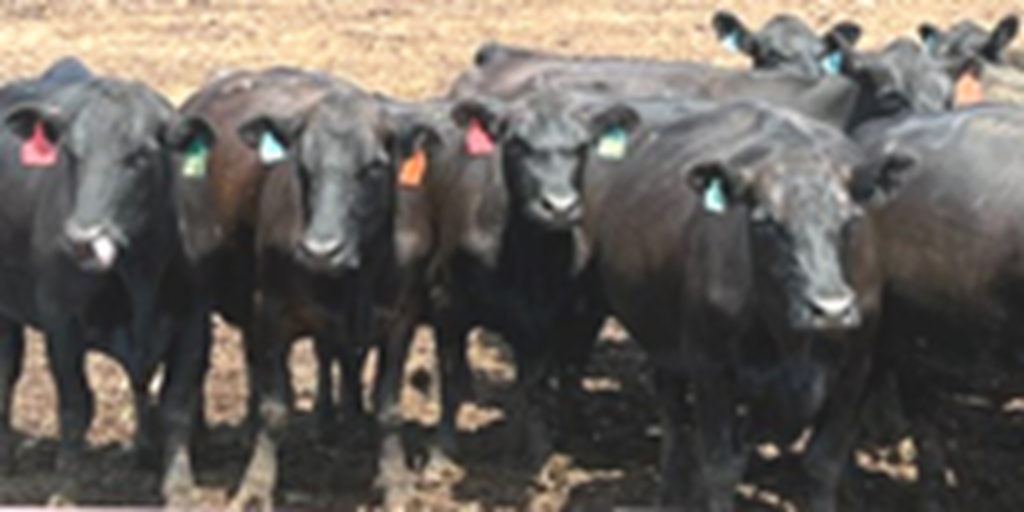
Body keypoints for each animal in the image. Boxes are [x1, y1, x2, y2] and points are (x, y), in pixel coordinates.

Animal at [0, 72, 212, 507]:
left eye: (139, 156)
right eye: (71, 154)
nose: (81, 239)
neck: (141, 272)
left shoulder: (193, 321)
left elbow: (176, 406)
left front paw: (179, 488)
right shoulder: (61, 322)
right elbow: (76, 406)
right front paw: (66, 488)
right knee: (7, 370)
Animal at [581, 100, 909, 512]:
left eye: (850, 220)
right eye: (764, 222)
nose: (830, 310)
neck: (792, 341)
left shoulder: (857, 368)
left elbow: (824, 463)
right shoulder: (709, 365)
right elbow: (721, 465)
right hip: (664, 340)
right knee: (674, 419)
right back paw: (670, 493)